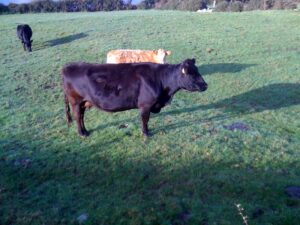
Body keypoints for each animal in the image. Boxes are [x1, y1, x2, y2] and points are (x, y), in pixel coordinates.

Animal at [62, 59, 207, 136]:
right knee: (77, 117)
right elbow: (145, 120)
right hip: (75, 101)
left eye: (197, 71)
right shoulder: (145, 104)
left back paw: (86, 131)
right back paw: (82, 133)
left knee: (81, 116)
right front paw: (146, 133)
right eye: (191, 73)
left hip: (83, 102)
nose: (205, 85)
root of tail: (68, 66)